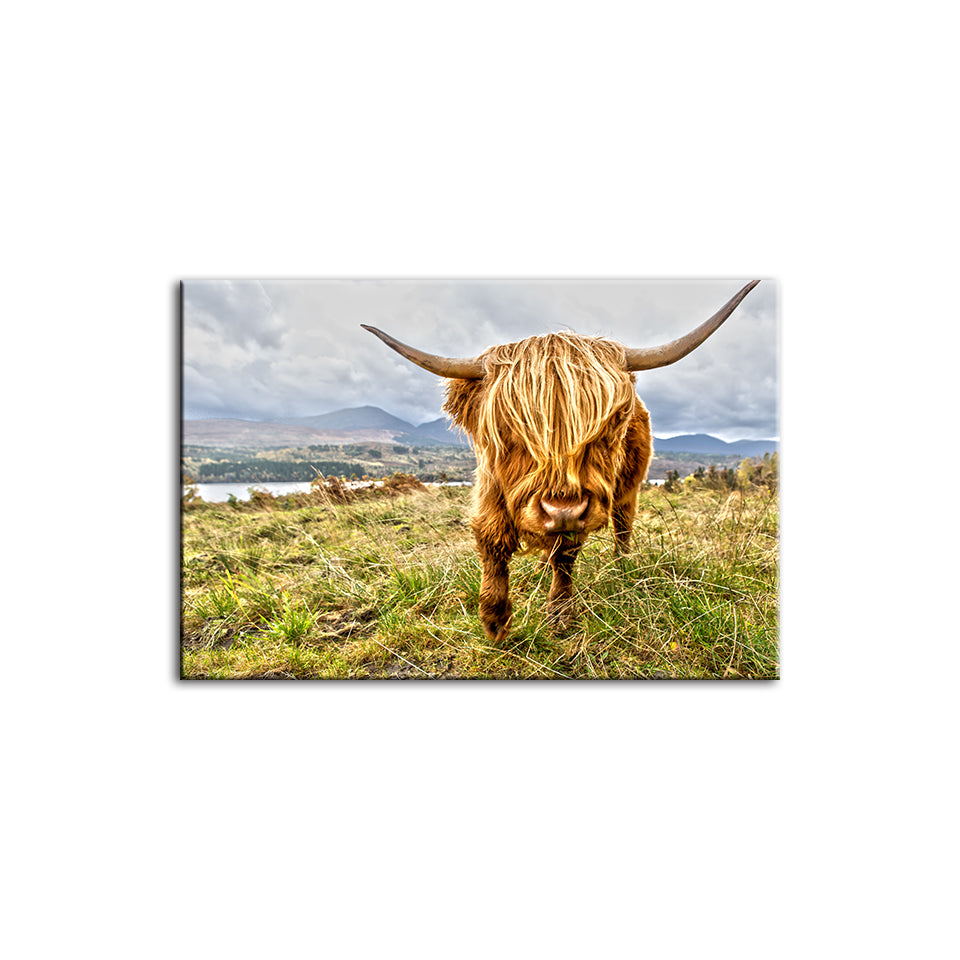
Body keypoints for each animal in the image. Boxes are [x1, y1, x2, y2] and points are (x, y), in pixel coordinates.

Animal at [362, 280, 760, 642]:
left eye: (612, 421)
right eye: (507, 426)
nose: (562, 511)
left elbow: (565, 554)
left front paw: (560, 613)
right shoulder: (490, 490)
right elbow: (492, 542)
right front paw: (495, 620)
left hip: (627, 491)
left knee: (622, 527)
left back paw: (621, 567)